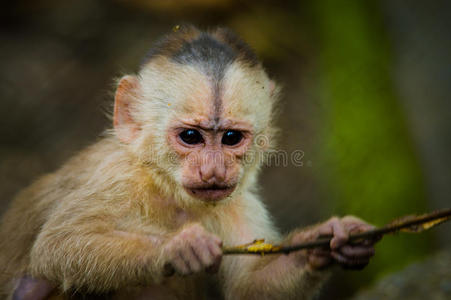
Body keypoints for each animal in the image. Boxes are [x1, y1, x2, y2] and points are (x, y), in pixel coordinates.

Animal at [0, 25, 380, 300]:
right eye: (190, 137)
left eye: (231, 138)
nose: (213, 170)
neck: (168, 190)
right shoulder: (119, 176)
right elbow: (57, 247)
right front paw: (178, 246)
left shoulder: (237, 201)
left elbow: (250, 287)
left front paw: (331, 239)